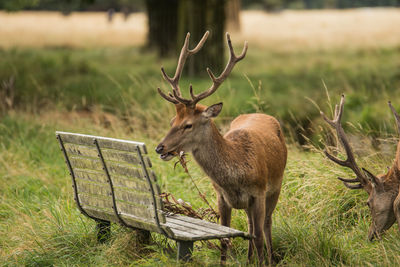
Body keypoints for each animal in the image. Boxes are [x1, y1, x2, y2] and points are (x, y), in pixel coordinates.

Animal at [154, 31, 288, 266]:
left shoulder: (259, 192)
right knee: (251, 226)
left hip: (276, 186)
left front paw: (263, 261)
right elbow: (225, 238)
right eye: (172, 121)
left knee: (266, 224)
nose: (160, 148)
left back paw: (270, 259)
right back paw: (249, 259)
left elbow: (259, 236)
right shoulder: (221, 196)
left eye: (188, 124)